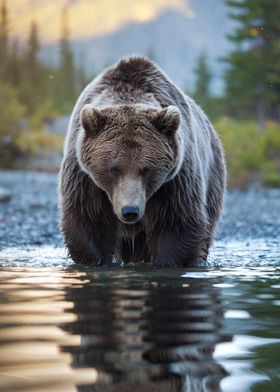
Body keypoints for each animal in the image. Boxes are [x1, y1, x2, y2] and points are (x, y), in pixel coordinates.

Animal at [58, 55, 226, 266]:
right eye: (114, 169)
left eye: (146, 169)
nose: (130, 210)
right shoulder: (85, 179)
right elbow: (89, 221)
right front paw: (95, 260)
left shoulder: (175, 181)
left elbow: (176, 225)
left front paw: (166, 262)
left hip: (212, 178)